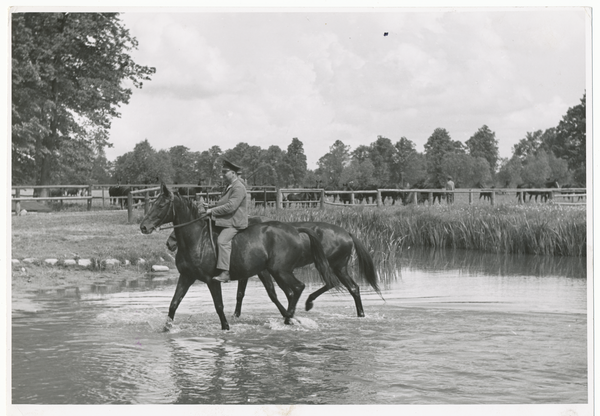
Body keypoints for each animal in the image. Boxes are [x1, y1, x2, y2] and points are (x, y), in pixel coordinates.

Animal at [233, 219, 380, 316]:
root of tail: (347, 233)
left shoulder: (263, 271)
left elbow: (271, 292)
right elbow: (240, 293)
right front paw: (236, 315)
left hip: (331, 265)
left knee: (335, 283)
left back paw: (309, 302)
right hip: (339, 267)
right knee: (351, 287)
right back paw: (360, 314)